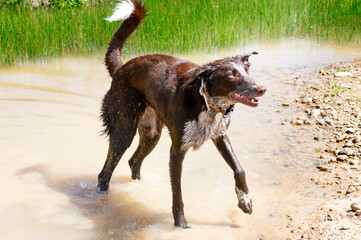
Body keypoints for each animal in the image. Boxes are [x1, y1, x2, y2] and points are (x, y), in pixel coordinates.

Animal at [97, 0, 266, 229]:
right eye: (232, 75)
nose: (262, 89)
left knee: (134, 162)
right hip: (124, 130)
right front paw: (181, 224)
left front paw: (245, 201)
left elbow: (239, 169)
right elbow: (177, 192)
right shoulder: (177, 151)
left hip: (152, 134)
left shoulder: (219, 135)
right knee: (105, 172)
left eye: (247, 71)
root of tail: (120, 69)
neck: (206, 100)